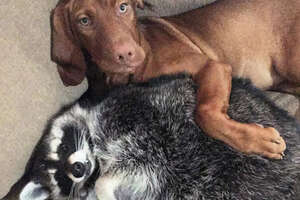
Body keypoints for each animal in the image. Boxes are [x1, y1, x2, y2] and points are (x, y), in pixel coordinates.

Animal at [51, 0, 300, 159]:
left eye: (123, 7)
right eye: (84, 21)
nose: (126, 54)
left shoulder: (213, 66)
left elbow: (205, 113)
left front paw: (259, 140)